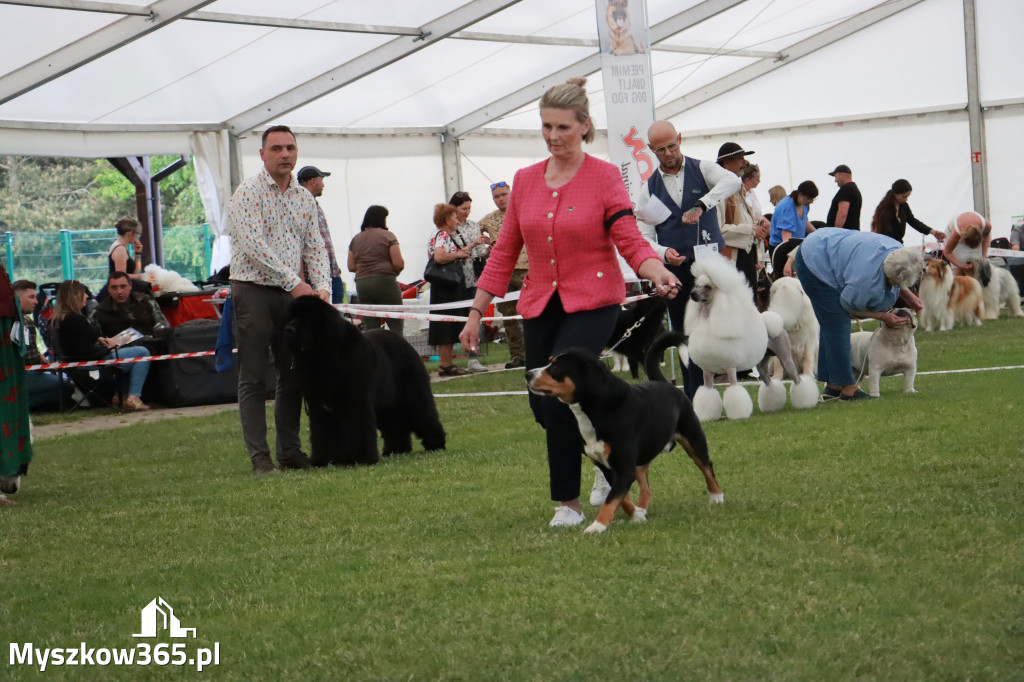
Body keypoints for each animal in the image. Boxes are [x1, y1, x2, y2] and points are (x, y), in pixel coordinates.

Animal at [284, 294, 444, 464]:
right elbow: (322, 433)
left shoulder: (356, 401)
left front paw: (360, 458)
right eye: (291, 318)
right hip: (387, 403)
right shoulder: (320, 408)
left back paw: (436, 444)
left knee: (424, 414)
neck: (323, 355)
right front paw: (324, 460)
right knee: (394, 423)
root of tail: (405, 342)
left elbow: (358, 429)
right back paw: (396, 449)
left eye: (306, 318)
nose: (288, 329)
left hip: (413, 395)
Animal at [524, 346, 724, 532]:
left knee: (707, 467)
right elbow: (621, 498)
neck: (598, 409)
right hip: (641, 460)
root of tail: (665, 384)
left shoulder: (624, 468)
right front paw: (636, 515)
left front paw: (597, 526)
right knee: (646, 488)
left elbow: (612, 499)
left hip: (694, 440)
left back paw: (717, 497)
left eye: (556, 367)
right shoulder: (609, 468)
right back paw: (642, 508)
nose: (528, 374)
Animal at [684, 251, 819, 419]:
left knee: (798, 379)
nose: (692, 294)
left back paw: (805, 402)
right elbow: (707, 393)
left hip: (785, 356)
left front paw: (738, 415)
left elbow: (735, 391)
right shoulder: (707, 371)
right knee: (769, 383)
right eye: (696, 285)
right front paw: (705, 416)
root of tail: (777, 318)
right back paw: (772, 405)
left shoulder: (730, 367)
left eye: (708, 287)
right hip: (762, 363)